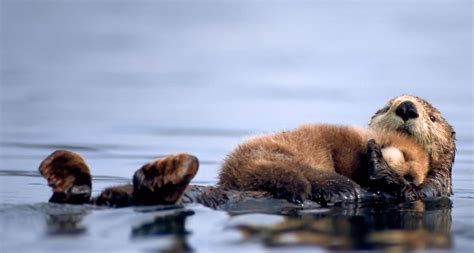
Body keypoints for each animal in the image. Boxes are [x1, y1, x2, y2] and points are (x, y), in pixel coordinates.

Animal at [38, 95, 456, 208]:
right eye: (387, 105)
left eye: (433, 117)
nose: (407, 108)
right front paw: (376, 158)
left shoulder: (431, 189)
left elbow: (407, 189)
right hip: (276, 159)